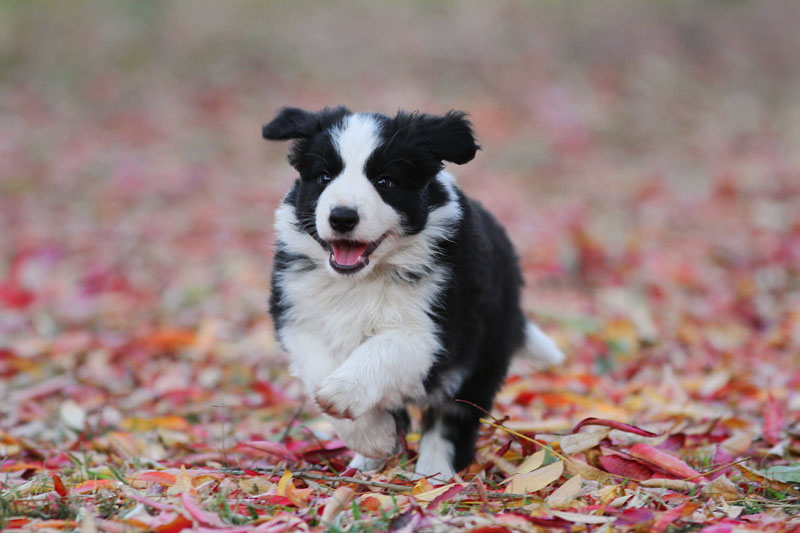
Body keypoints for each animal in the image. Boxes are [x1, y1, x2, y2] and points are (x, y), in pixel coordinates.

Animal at [262, 107, 564, 478]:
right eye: (323, 177)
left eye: (384, 181)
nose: (342, 217)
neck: (361, 279)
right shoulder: (298, 316)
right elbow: (319, 363)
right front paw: (373, 436)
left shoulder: (434, 331)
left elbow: (384, 348)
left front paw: (344, 392)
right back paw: (369, 461)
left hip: (482, 353)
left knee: (452, 417)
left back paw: (435, 475)